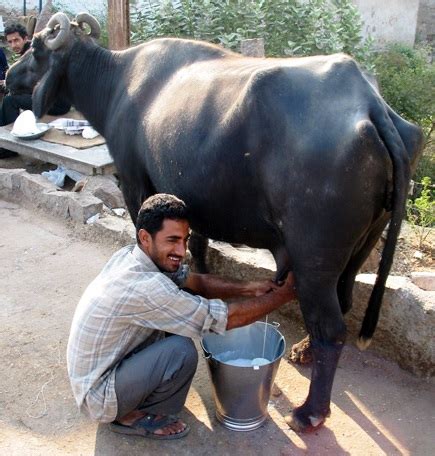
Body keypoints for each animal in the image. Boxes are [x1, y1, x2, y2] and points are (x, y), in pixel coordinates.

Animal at [5, 10, 422, 432]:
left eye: (37, 48)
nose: (8, 75)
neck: (118, 81)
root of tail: (370, 105)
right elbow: (198, 251)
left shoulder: (134, 181)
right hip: (365, 240)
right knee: (345, 299)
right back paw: (304, 351)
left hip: (315, 257)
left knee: (332, 328)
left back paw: (310, 411)